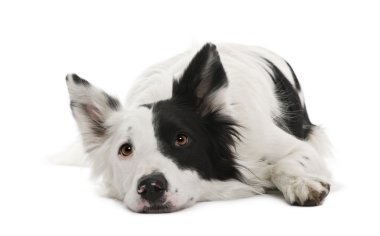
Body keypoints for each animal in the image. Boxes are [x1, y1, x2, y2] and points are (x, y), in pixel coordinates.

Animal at [67, 42, 332, 214]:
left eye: (181, 139)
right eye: (126, 150)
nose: (151, 187)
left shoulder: (295, 147)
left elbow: (283, 165)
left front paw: (302, 184)